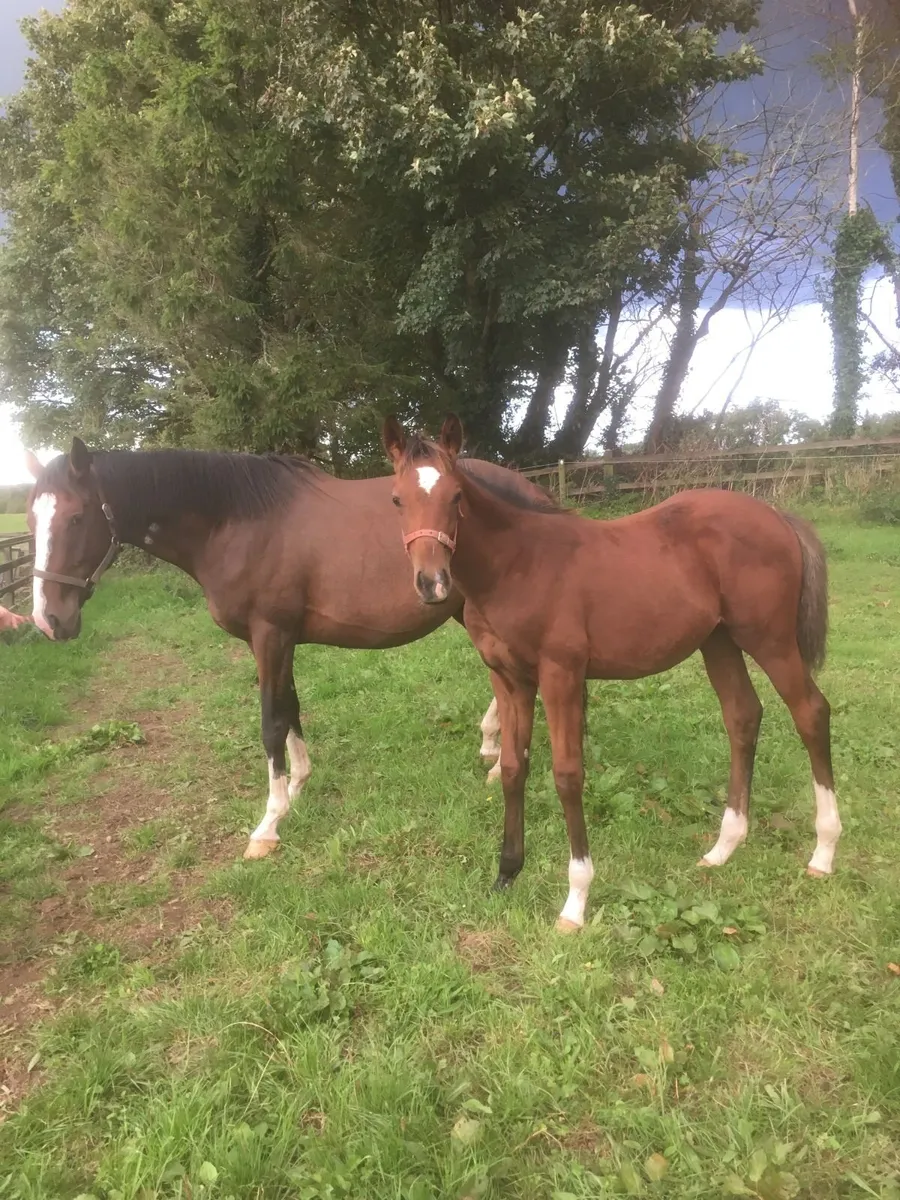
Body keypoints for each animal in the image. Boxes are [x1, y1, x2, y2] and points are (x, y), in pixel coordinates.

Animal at [23, 437, 551, 858]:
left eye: (76, 517)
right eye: (30, 516)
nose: (49, 620)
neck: (235, 523)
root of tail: (535, 493)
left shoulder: (270, 634)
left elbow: (271, 722)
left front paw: (269, 824)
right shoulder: (279, 639)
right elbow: (291, 706)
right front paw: (297, 786)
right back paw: (491, 746)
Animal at [382, 414, 841, 932]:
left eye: (456, 495)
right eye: (397, 499)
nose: (432, 584)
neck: (518, 565)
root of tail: (778, 516)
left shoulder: (560, 674)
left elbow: (566, 774)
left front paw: (575, 900)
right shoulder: (508, 677)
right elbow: (514, 768)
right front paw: (507, 873)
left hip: (770, 639)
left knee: (810, 712)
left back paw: (824, 851)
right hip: (719, 641)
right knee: (742, 716)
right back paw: (723, 848)